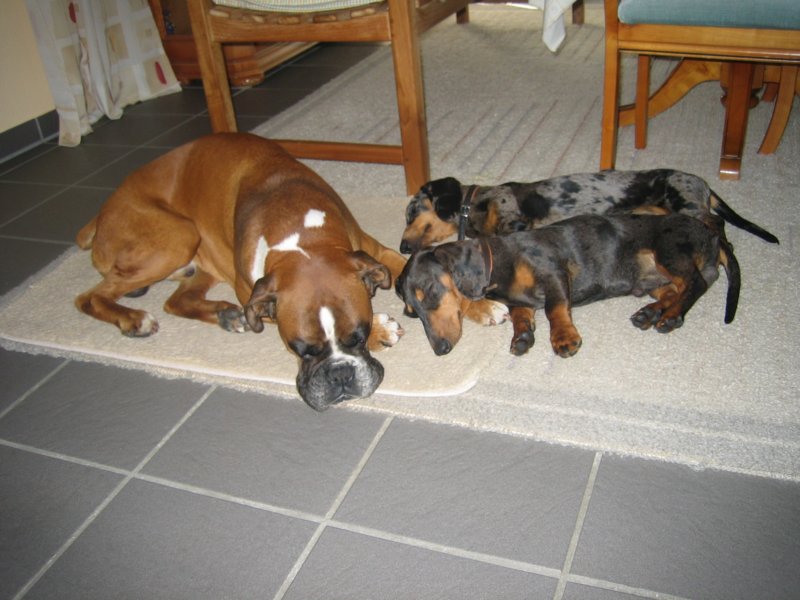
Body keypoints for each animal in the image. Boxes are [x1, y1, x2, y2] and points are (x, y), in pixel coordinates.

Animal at [74, 133, 411, 411]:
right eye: (300, 350)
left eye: (358, 337)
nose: (340, 375)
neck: (299, 234)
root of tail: (102, 213)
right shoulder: (251, 293)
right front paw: (382, 329)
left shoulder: (374, 251)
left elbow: (406, 265)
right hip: (177, 237)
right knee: (87, 298)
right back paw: (134, 319)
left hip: (197, 251)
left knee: (174, 300)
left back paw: (226, 315)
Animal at [396, 212, 740, 358]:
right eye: (412, 313)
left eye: (430, 292)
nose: (440, 350)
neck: (501, 259)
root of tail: (711, 232)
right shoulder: (520, 300)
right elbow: (521, 314)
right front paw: (522, 335)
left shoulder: (554, 274)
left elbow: (554, 309)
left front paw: (563, 338)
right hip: (653, 276)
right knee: (673, 291)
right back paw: (651, 313)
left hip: (668, 250)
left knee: (695, 284)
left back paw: (670, 317)